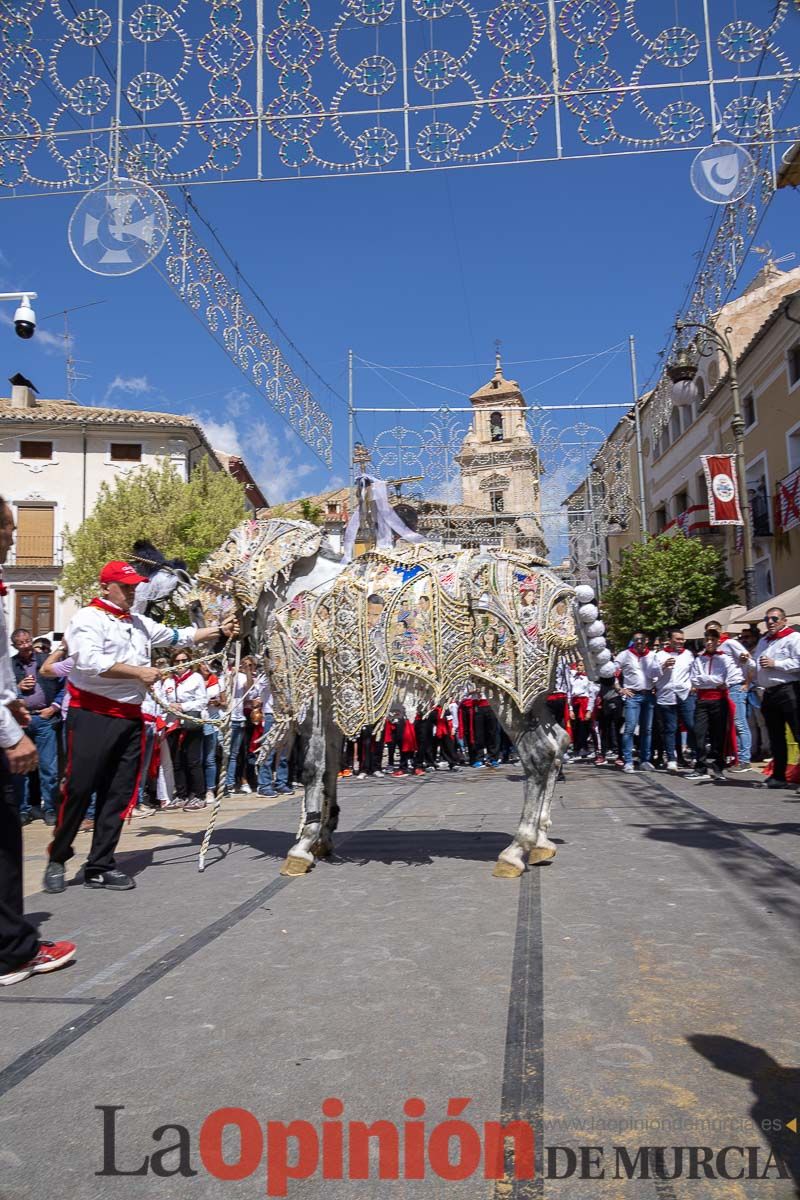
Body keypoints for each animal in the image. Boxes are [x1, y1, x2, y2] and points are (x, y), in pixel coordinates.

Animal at [188, 520, 614, 878]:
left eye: (228, 548)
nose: (195, 610)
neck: (296, 587)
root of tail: (563, 590)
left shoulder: (313, 703)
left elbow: (311, 768)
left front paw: (302, 848)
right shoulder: (335, 705)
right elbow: (329, 770)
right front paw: (323, 837)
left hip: (509, 690)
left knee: (539, 755)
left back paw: (516, 851)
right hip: (528, 696)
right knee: (557, 744)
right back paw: (540, 843)